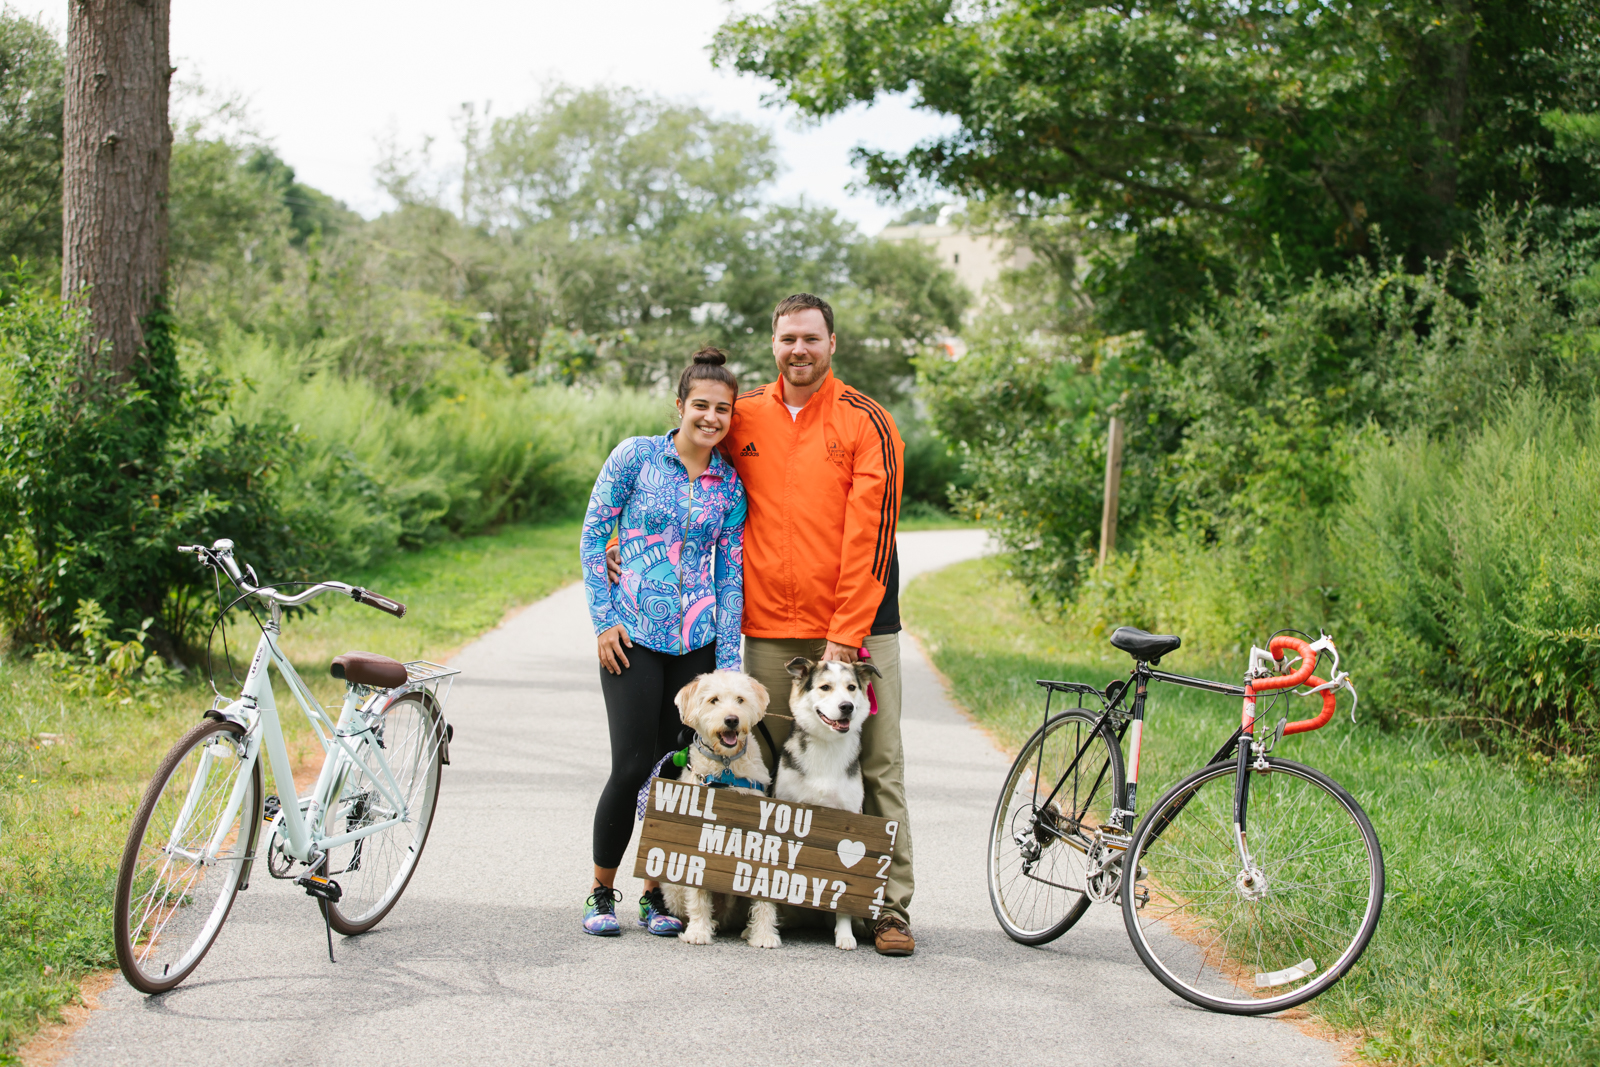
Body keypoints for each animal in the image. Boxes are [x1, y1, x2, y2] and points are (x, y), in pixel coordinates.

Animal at [662, 668, 780, 953]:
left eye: (740, 699)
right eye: (713, 700)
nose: (732, 720)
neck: (726, 768)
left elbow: (763, 893)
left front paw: (764, 934)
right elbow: (697, 891)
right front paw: (698, 931)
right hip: (672, 889)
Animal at [771, 659, 883, 953]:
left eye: (851, 687)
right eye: (825, 687)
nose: (847, 707)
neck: (827, 745)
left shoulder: (849, 822)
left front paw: (844, 935)